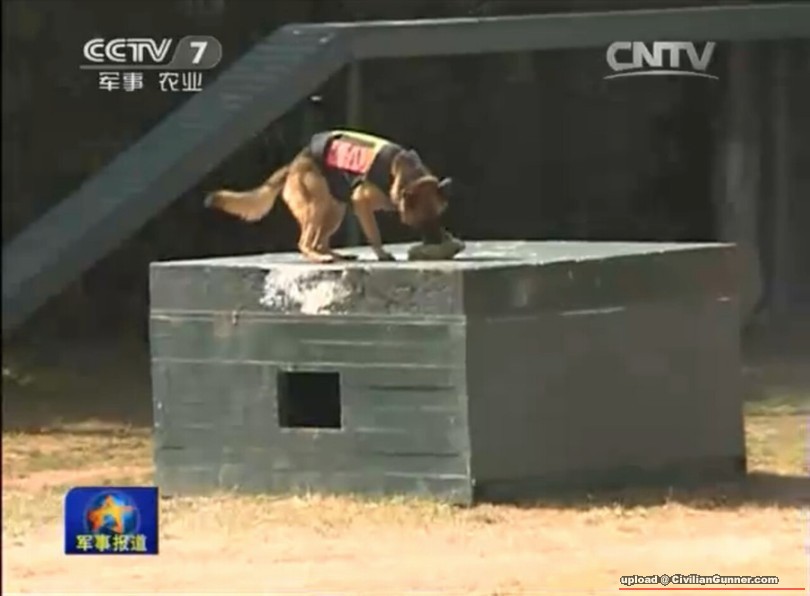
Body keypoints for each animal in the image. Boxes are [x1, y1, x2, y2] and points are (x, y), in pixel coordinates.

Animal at [205, 129, 458, 263]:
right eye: (422, 221)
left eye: (438, 217)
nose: (438, 242)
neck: (406, 173)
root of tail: (293, 164)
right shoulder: (361, 202)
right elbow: (374, 234)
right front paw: (381, 253)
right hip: (318, 206)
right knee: (305, 243)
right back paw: (319, 257)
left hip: (335, 210)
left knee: (319, 242)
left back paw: (335, 255)